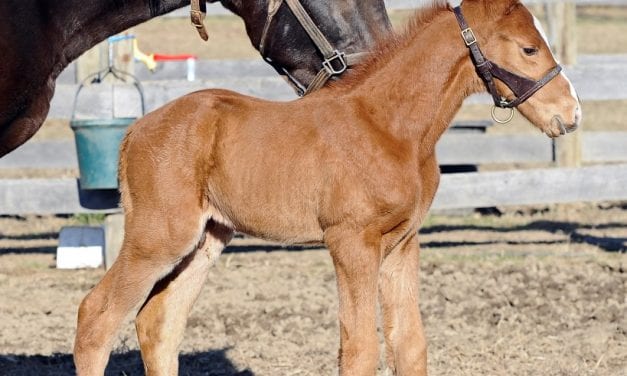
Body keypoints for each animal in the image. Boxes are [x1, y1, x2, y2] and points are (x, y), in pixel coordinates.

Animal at [76, 1, 580, 374]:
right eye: (529, 49)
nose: (571, 114)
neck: (390, 126)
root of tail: (134, 130)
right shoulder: (350, 242)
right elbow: (359, 350)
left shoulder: (402, 244)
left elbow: (408, 344)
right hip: (158, 237)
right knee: (96, 319)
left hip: (206, 238)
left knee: (158, 324)